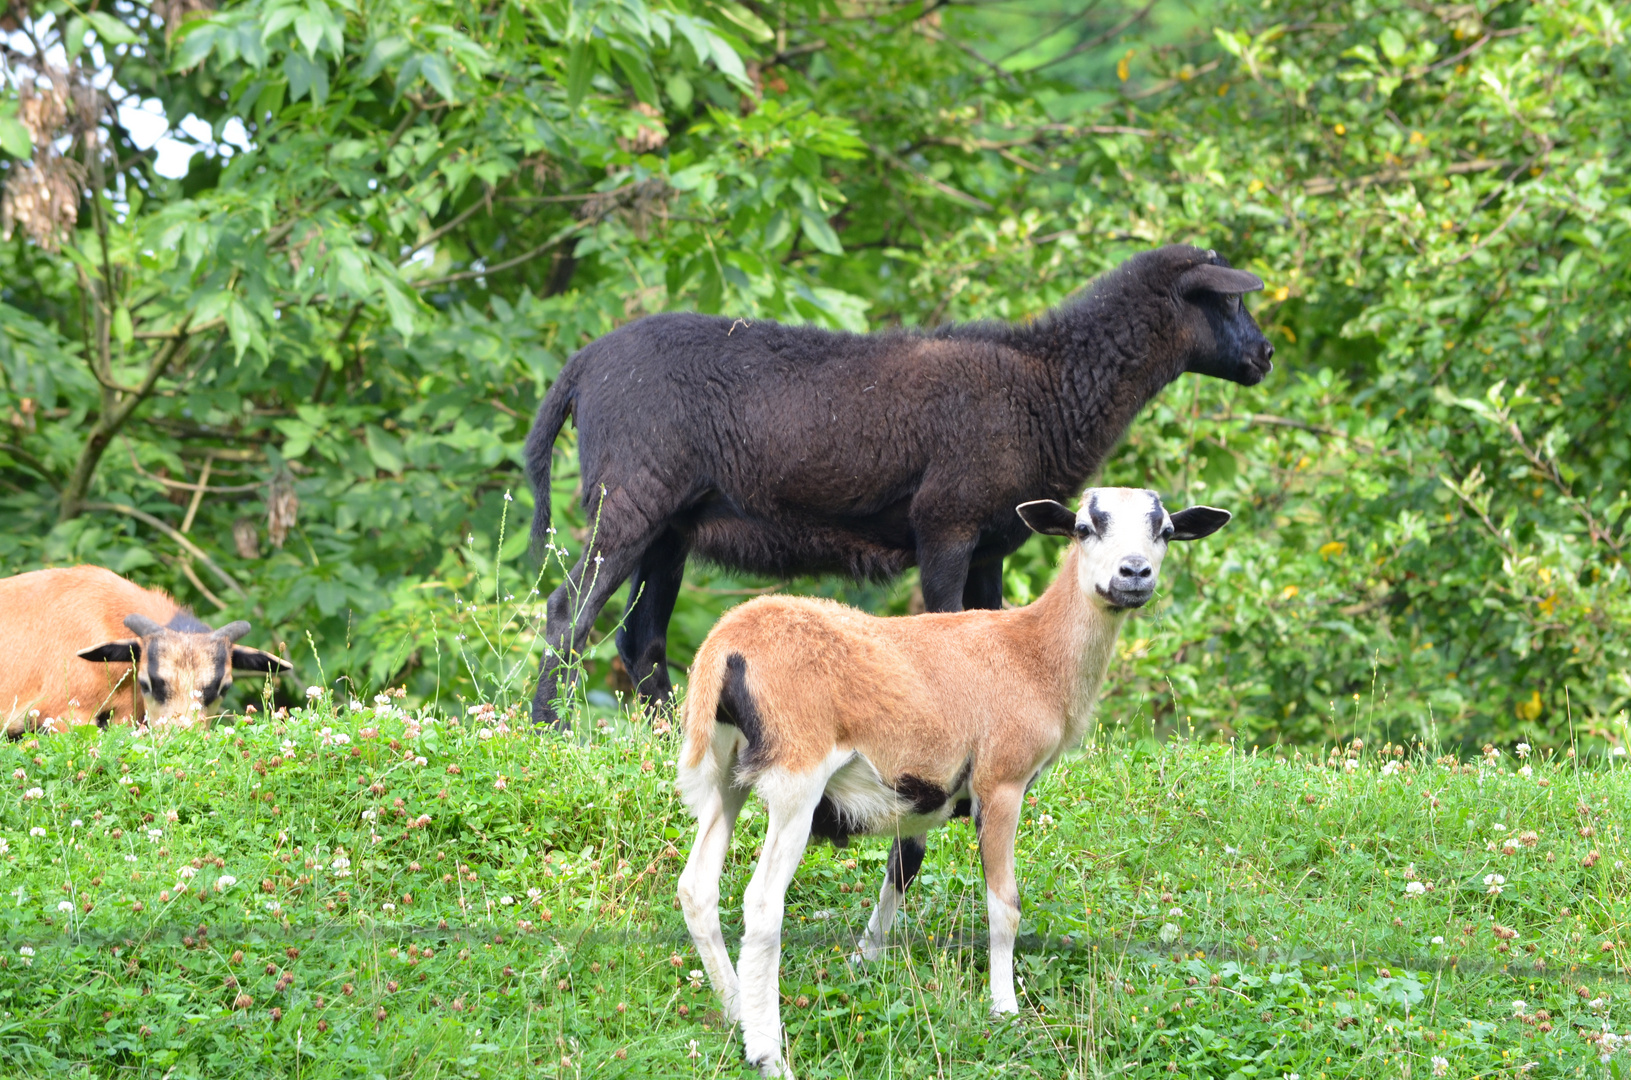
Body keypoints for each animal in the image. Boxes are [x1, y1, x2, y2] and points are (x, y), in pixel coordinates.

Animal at [521, 241, 1272, 724]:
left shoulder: (991, 541)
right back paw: (548, 727)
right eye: (1227, 304)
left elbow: (989, 629)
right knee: (568, 611)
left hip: (670, 524)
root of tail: (582, 366)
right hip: (630, 496)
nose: (1265, 355)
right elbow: (945, 625)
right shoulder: (946, 522)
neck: (1050, 386)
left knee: (640, 637)